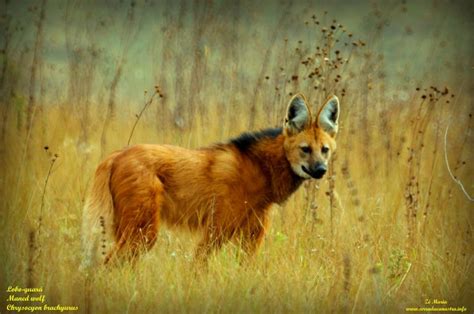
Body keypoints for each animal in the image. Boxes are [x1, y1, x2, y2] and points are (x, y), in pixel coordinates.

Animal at [82, 93, 340, 268]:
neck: (261, 170)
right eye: (305, 149)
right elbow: (198, 267)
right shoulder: (216, 231)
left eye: (324, 150)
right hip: (143, 232)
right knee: (107, 265)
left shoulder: (250, 238)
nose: (321, 170)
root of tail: (115, 155)